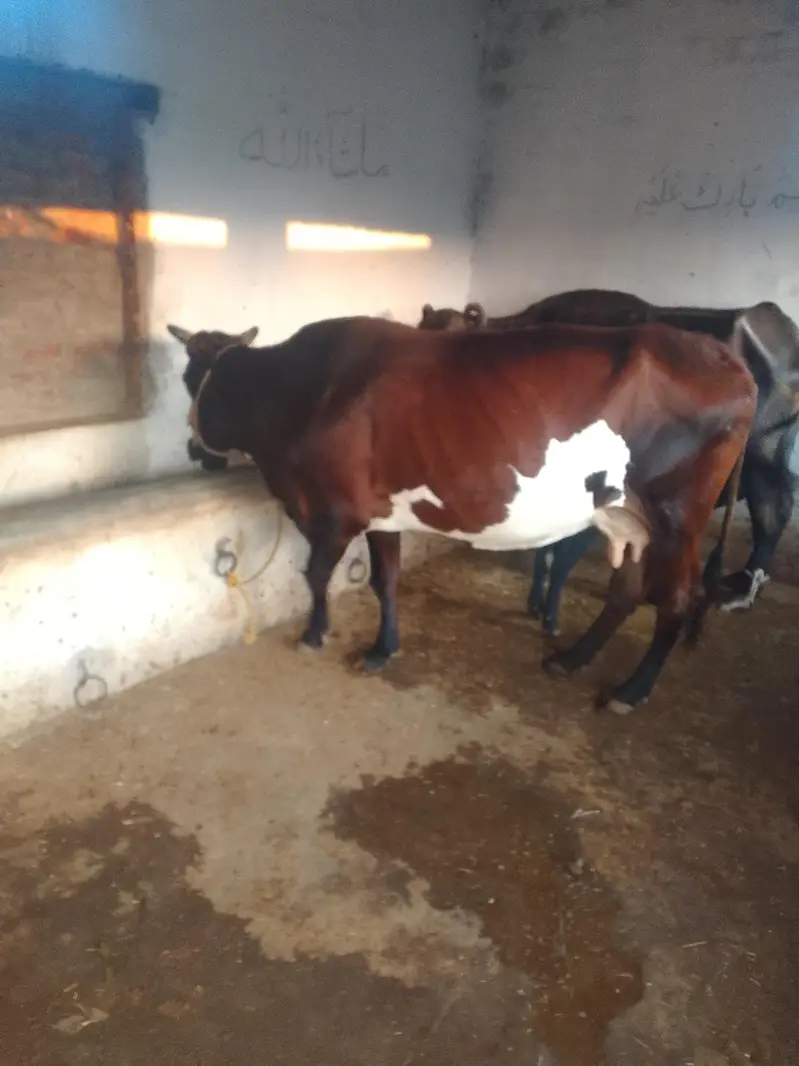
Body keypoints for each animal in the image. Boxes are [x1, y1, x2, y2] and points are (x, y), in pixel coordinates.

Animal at [168, 314, 759, 715]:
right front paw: (382, 649)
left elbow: (315, 574)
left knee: (679, 597)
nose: (195, 448)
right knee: (627, 589)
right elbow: (385, 580)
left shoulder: (336, 510)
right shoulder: (382, 513)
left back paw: (630, 691)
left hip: (677, 514)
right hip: (625, 513)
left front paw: (315, 635)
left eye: (197, 380)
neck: (297, 394)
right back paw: (570, 659)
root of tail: (723, 356)